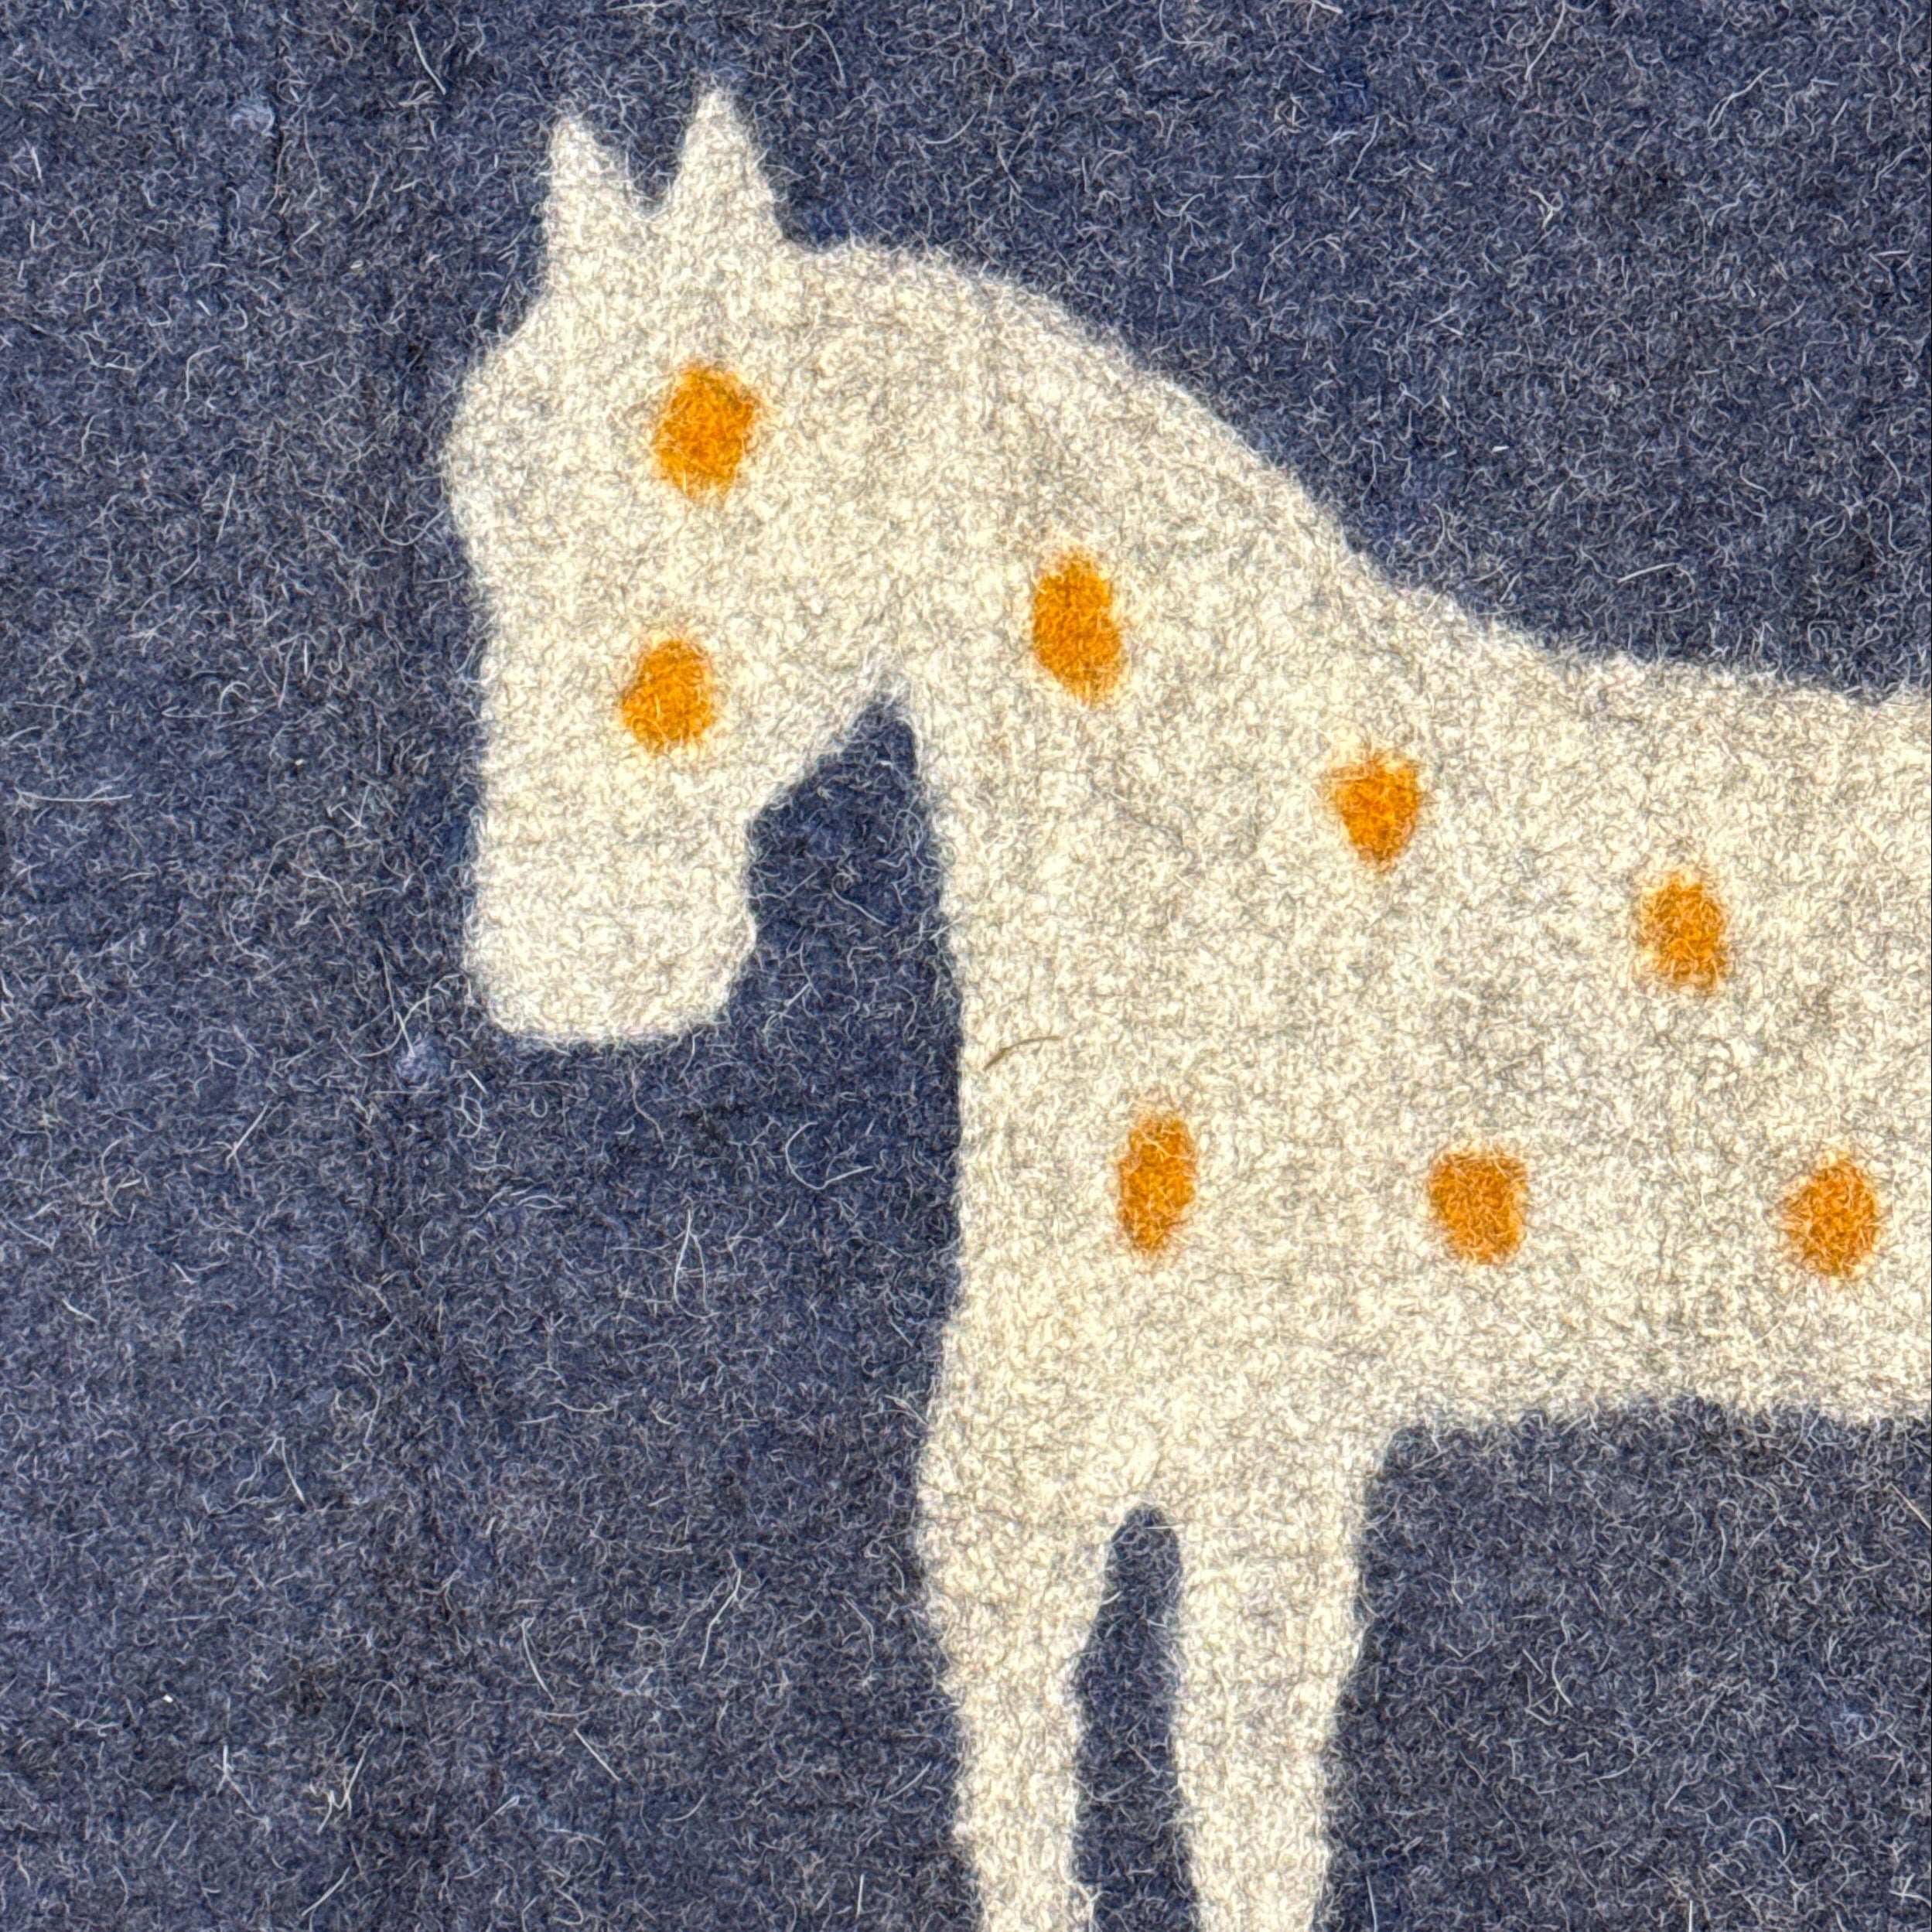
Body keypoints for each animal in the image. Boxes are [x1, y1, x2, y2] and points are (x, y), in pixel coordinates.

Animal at [443, 90, 1929, 1931]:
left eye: (711, 445)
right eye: (472, 484)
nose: (569, 961)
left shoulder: (1256, 1426)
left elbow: (1236, 1796)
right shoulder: (1069, 1437)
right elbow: (1047, 1773)